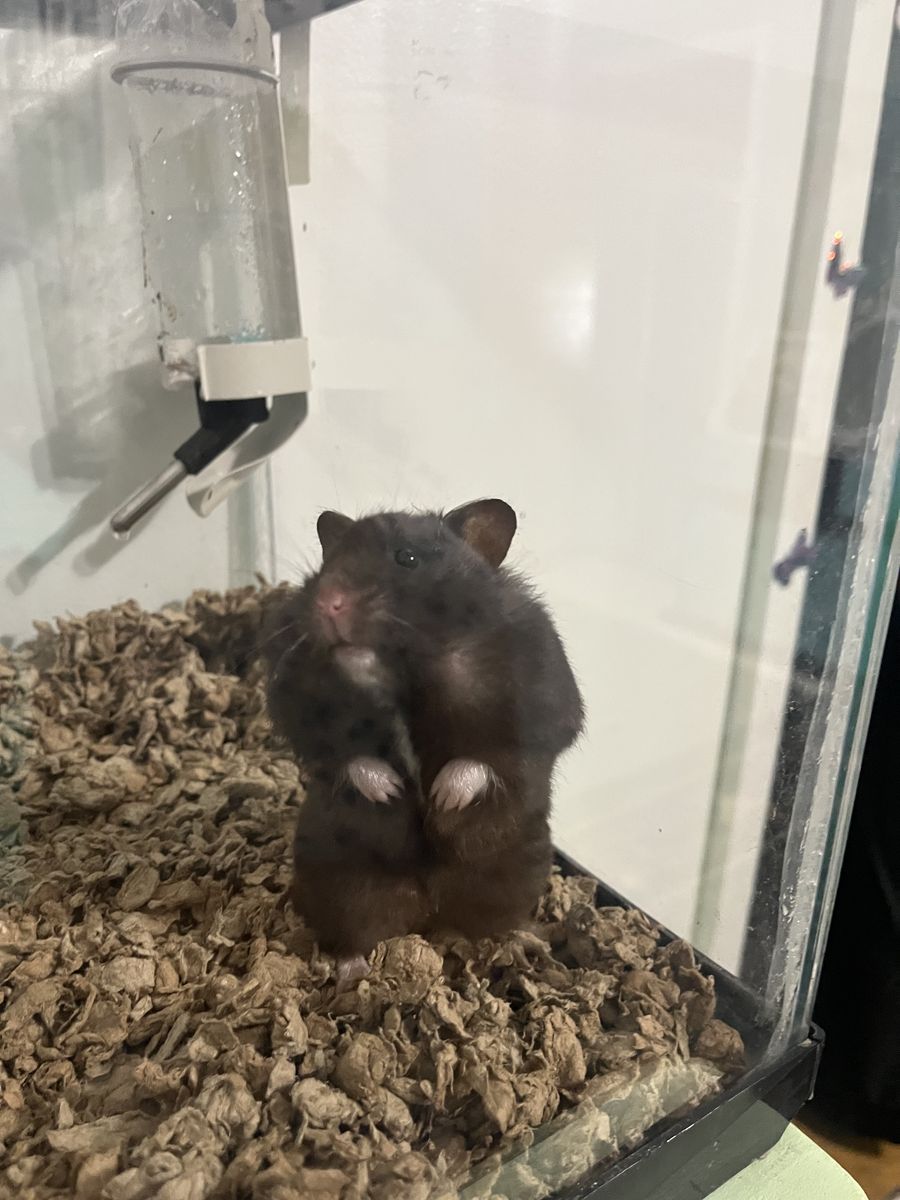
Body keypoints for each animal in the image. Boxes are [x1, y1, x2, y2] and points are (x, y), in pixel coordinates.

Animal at [264, 499, 584, 977]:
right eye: (325, 565)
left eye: (407, 558)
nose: (328, 603)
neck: (406, 670)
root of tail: (427, 909)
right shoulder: (296, 702)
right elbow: (346, 755)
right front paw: (392, 790)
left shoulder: (544, 700)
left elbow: (489, 757)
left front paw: (442, 799)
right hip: (337, 878)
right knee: (353, 930)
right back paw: (351, 973)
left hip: (517, 871)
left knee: (489, 923)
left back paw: (515, 942)